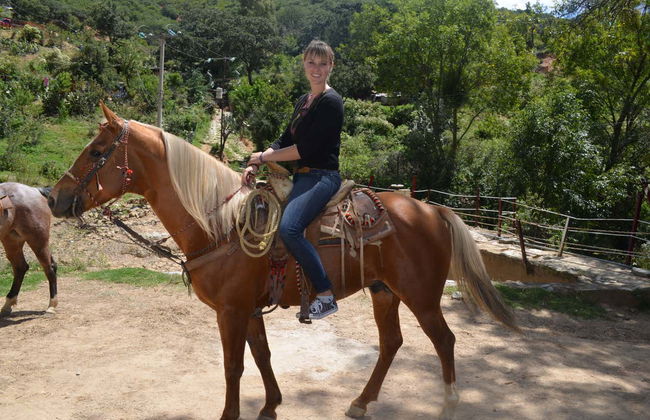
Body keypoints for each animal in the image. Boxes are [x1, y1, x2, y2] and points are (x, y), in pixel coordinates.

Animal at [0, 182, 58, 316]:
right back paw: (8, 304)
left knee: (50, 268)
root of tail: (35, 190)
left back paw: (51, 306)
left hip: (38, 241)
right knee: (20, 267)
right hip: (12, 242)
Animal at [47, 103, 517, 420]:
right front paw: (271, 405)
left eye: (96, 152)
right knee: (391, 344)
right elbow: (262, 356)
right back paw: (360, 402)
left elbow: (233, 366)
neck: (221, 224)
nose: (53, 199)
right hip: (385, 292)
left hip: (421, 296)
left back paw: (448, 405)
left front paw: (232, 414)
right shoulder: (250, 309)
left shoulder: (231, 311)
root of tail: (433, 210)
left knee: (444, 342)